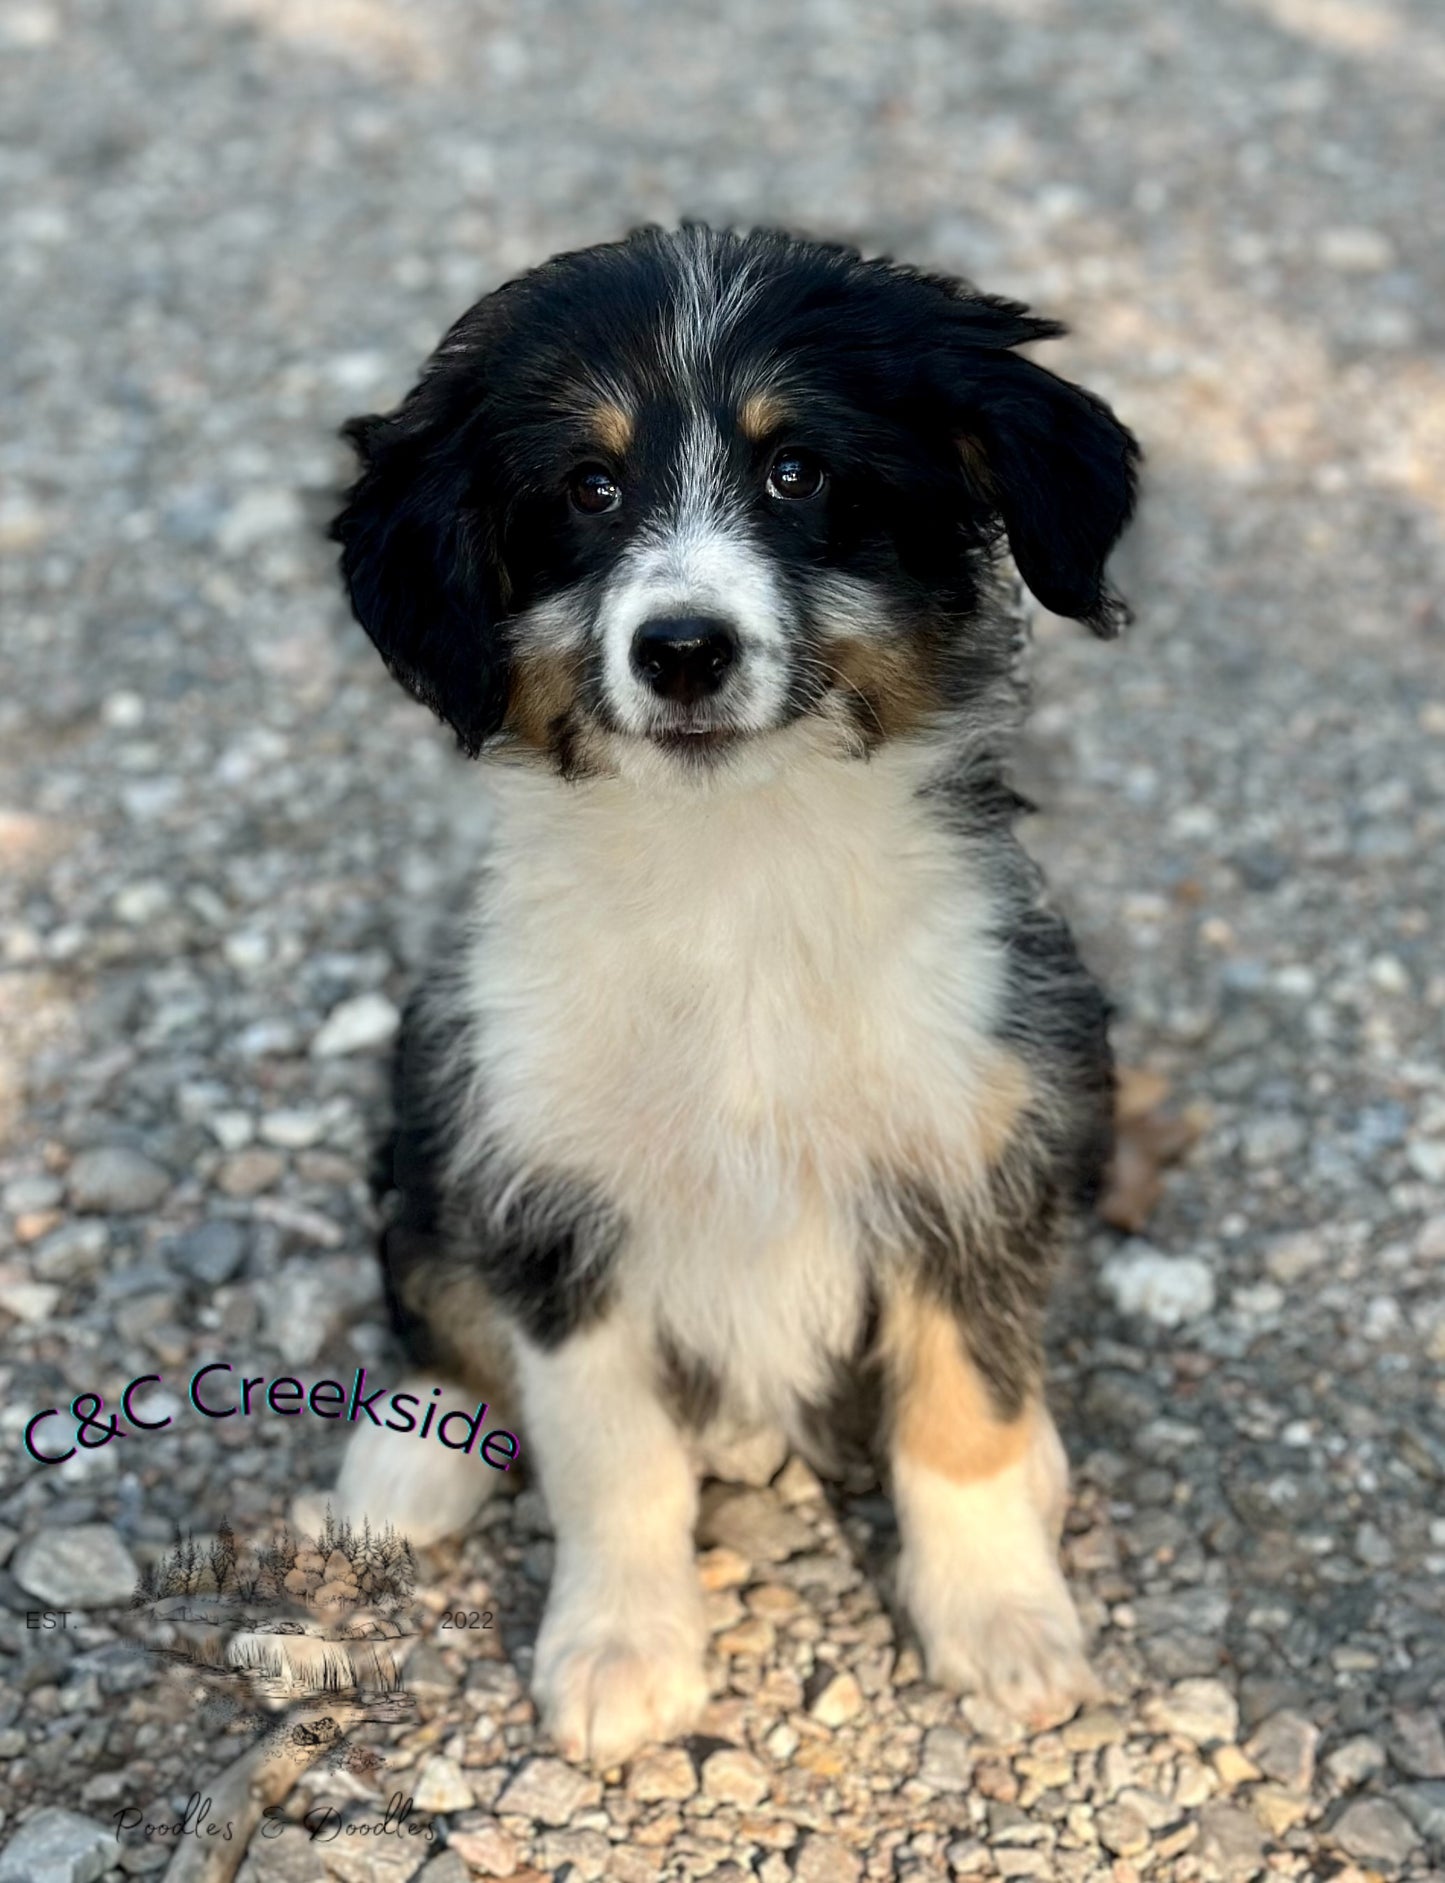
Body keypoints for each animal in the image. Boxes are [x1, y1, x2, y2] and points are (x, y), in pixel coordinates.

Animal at [327, 224, 1145, 1762]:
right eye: (587, 488)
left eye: (797, 472)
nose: (683, 649)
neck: (735, 864)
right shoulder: (552, 1183)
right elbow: (609, 1448)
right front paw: (619, 1652)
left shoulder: (979, 1135)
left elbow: (963, 1412)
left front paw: (1003, 1622)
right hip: (436, 1098)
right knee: (432, 1296)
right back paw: (402, 1469)